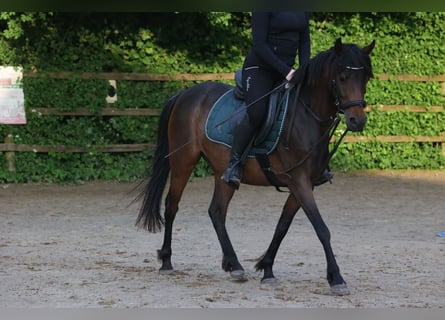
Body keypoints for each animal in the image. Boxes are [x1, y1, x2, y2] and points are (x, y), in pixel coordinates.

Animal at [135, 38, 374, 296]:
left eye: (365, 78)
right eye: (342, 77)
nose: (357, 121)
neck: (306, 116)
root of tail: (185, 94)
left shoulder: (303, 184)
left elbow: (282, 226)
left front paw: (267, 269)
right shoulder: (299, 181)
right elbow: (321, 228)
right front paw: (336, 278)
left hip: (222, 173)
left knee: (216, 212)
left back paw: (234, 265)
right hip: (183, 162)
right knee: (172, 206)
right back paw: (167, 261)